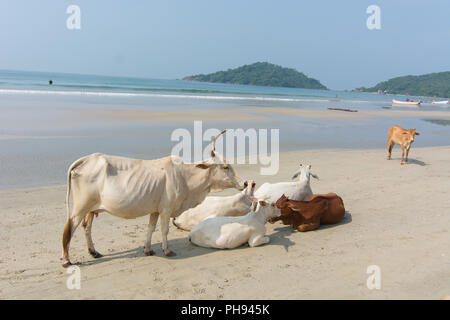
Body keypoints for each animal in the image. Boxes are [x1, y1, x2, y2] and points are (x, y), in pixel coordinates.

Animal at [61, 130, 244, 268]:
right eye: (225, 167)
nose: (244, 183)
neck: (184, 177)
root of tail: (86, 159)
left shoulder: (155, 210)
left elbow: (150, 228)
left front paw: (148, 250)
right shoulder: (166, 209)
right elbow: (164, 230)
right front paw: (167, 251)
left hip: (91, 209)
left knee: (86, 227)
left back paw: (94, 252)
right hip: (80, 208)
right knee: (69, 229)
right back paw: (67, 260)